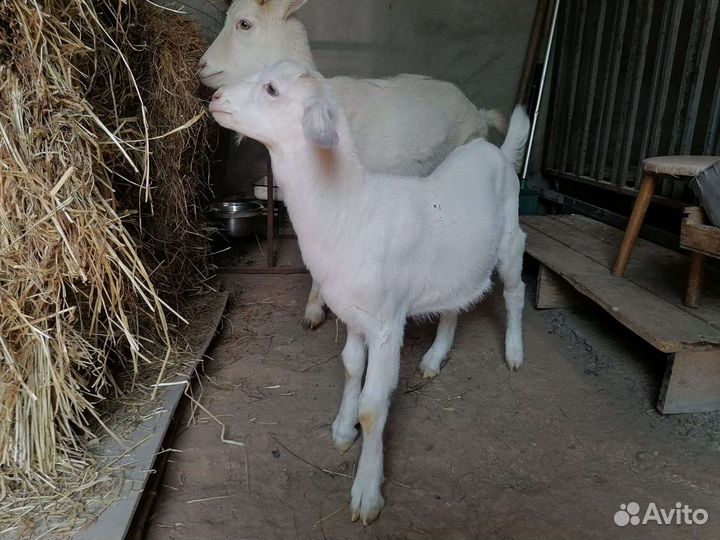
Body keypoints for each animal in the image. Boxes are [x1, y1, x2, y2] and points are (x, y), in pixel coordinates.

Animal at [210, 60, 529, 525]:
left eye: (271, 89)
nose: (215, 99)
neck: (350, 207)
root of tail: (496, 152)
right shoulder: (353, 315)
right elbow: (349, 369)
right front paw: (343, 430)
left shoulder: (385, 323)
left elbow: (374, 406)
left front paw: (366, 492)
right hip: (458, 262)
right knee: (455, 304)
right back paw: (434, 358)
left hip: (510, 240)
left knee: (516, 291)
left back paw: (515, 352)